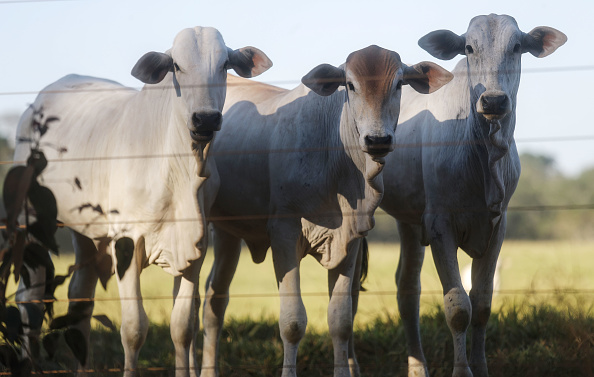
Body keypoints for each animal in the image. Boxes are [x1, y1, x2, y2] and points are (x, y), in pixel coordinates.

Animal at [13, 25, 272, 374]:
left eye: (225, 65)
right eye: (176, 66)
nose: (205, 119)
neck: (179, 169)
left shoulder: (195, 248)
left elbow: (183, 327)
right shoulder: (126, 243)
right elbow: (134, 329)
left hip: (86, 232)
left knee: (81, 296)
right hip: (31, 220)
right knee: (30, 301)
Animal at [197, 44, 450, 376]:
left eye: (398, 84)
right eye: (351, 85)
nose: (378, 139)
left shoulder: (350, 240)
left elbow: (340, 320)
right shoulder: (284, 234)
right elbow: (292, 323)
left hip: (228, 233)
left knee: (215, 299)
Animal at [376, 13, 568, 376]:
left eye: (517, 46)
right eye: (468, 47)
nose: (493, 100)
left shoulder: (497, 226)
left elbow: (481, 304)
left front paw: (480, 367)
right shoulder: (439, 226)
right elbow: (458, 308)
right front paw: (461, 370)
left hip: (409, 222)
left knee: (407, 289)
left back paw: (417, 366)